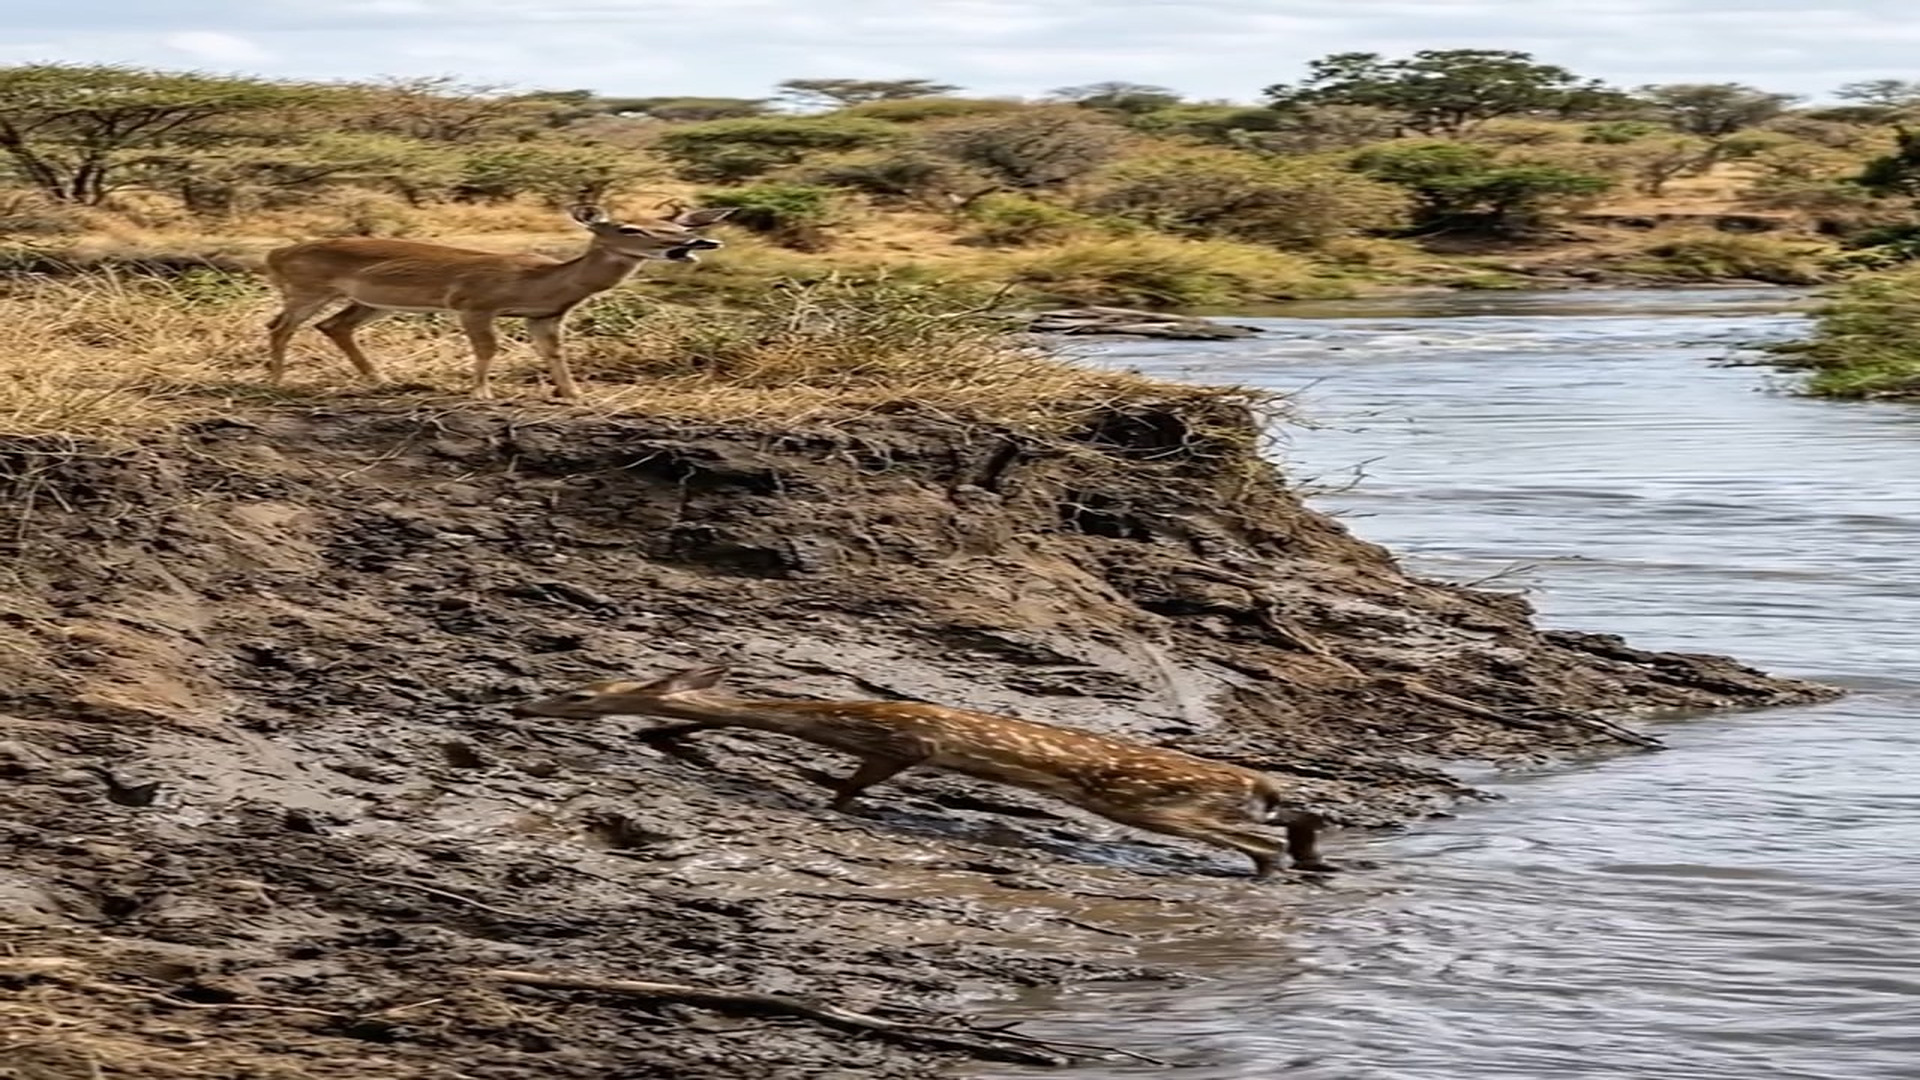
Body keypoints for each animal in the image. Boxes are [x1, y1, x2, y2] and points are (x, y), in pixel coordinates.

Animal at [261, 202, 735, 402]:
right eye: (628, 228)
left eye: (674, 226)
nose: (695, 243)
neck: (540, 281)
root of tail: (276, 253)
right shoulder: (473, 306)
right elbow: (489, 348)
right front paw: (482, 393)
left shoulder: (545, 317)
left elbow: (555, 354)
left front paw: (574, 395)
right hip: (309, 292)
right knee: (280, 326)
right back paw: (277, 382)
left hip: (371, 302)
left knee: (333, 327)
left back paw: (383, 381)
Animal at [509, 664, 1338, 880]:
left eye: (579, 694)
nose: (521, 704)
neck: (831, 716)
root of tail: (1254, 781)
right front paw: (666, 732)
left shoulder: (903, 745)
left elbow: (859, 782)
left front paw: (832, 797)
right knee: (1296, 813)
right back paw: (1308, 856)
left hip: (1154, 803)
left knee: (1256, 838)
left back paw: (1272, 870)